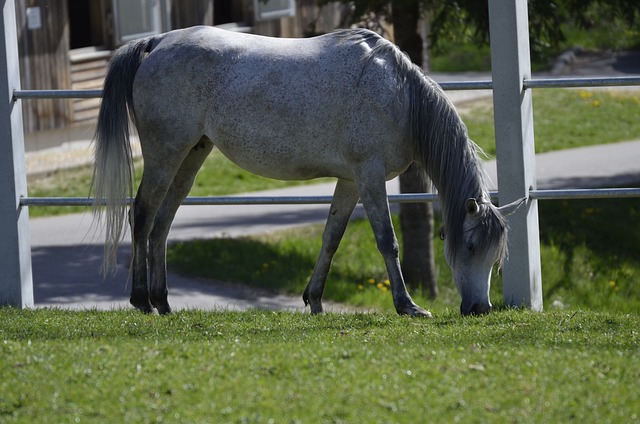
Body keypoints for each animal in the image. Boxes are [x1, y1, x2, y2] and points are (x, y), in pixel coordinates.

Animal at [92, 26, 524, 316]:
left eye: (497, 254)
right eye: (471, 246)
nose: (480, 309)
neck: (399, 94)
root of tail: (156, 42)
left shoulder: (350, 181)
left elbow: (331, 238)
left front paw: (314, 301)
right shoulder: (370, 176)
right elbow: (387, 241)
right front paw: (407, 306)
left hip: (190, 157)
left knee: (163, 223)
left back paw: (164, 302)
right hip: (165, 153)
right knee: (142, 215)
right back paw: (142, 301)